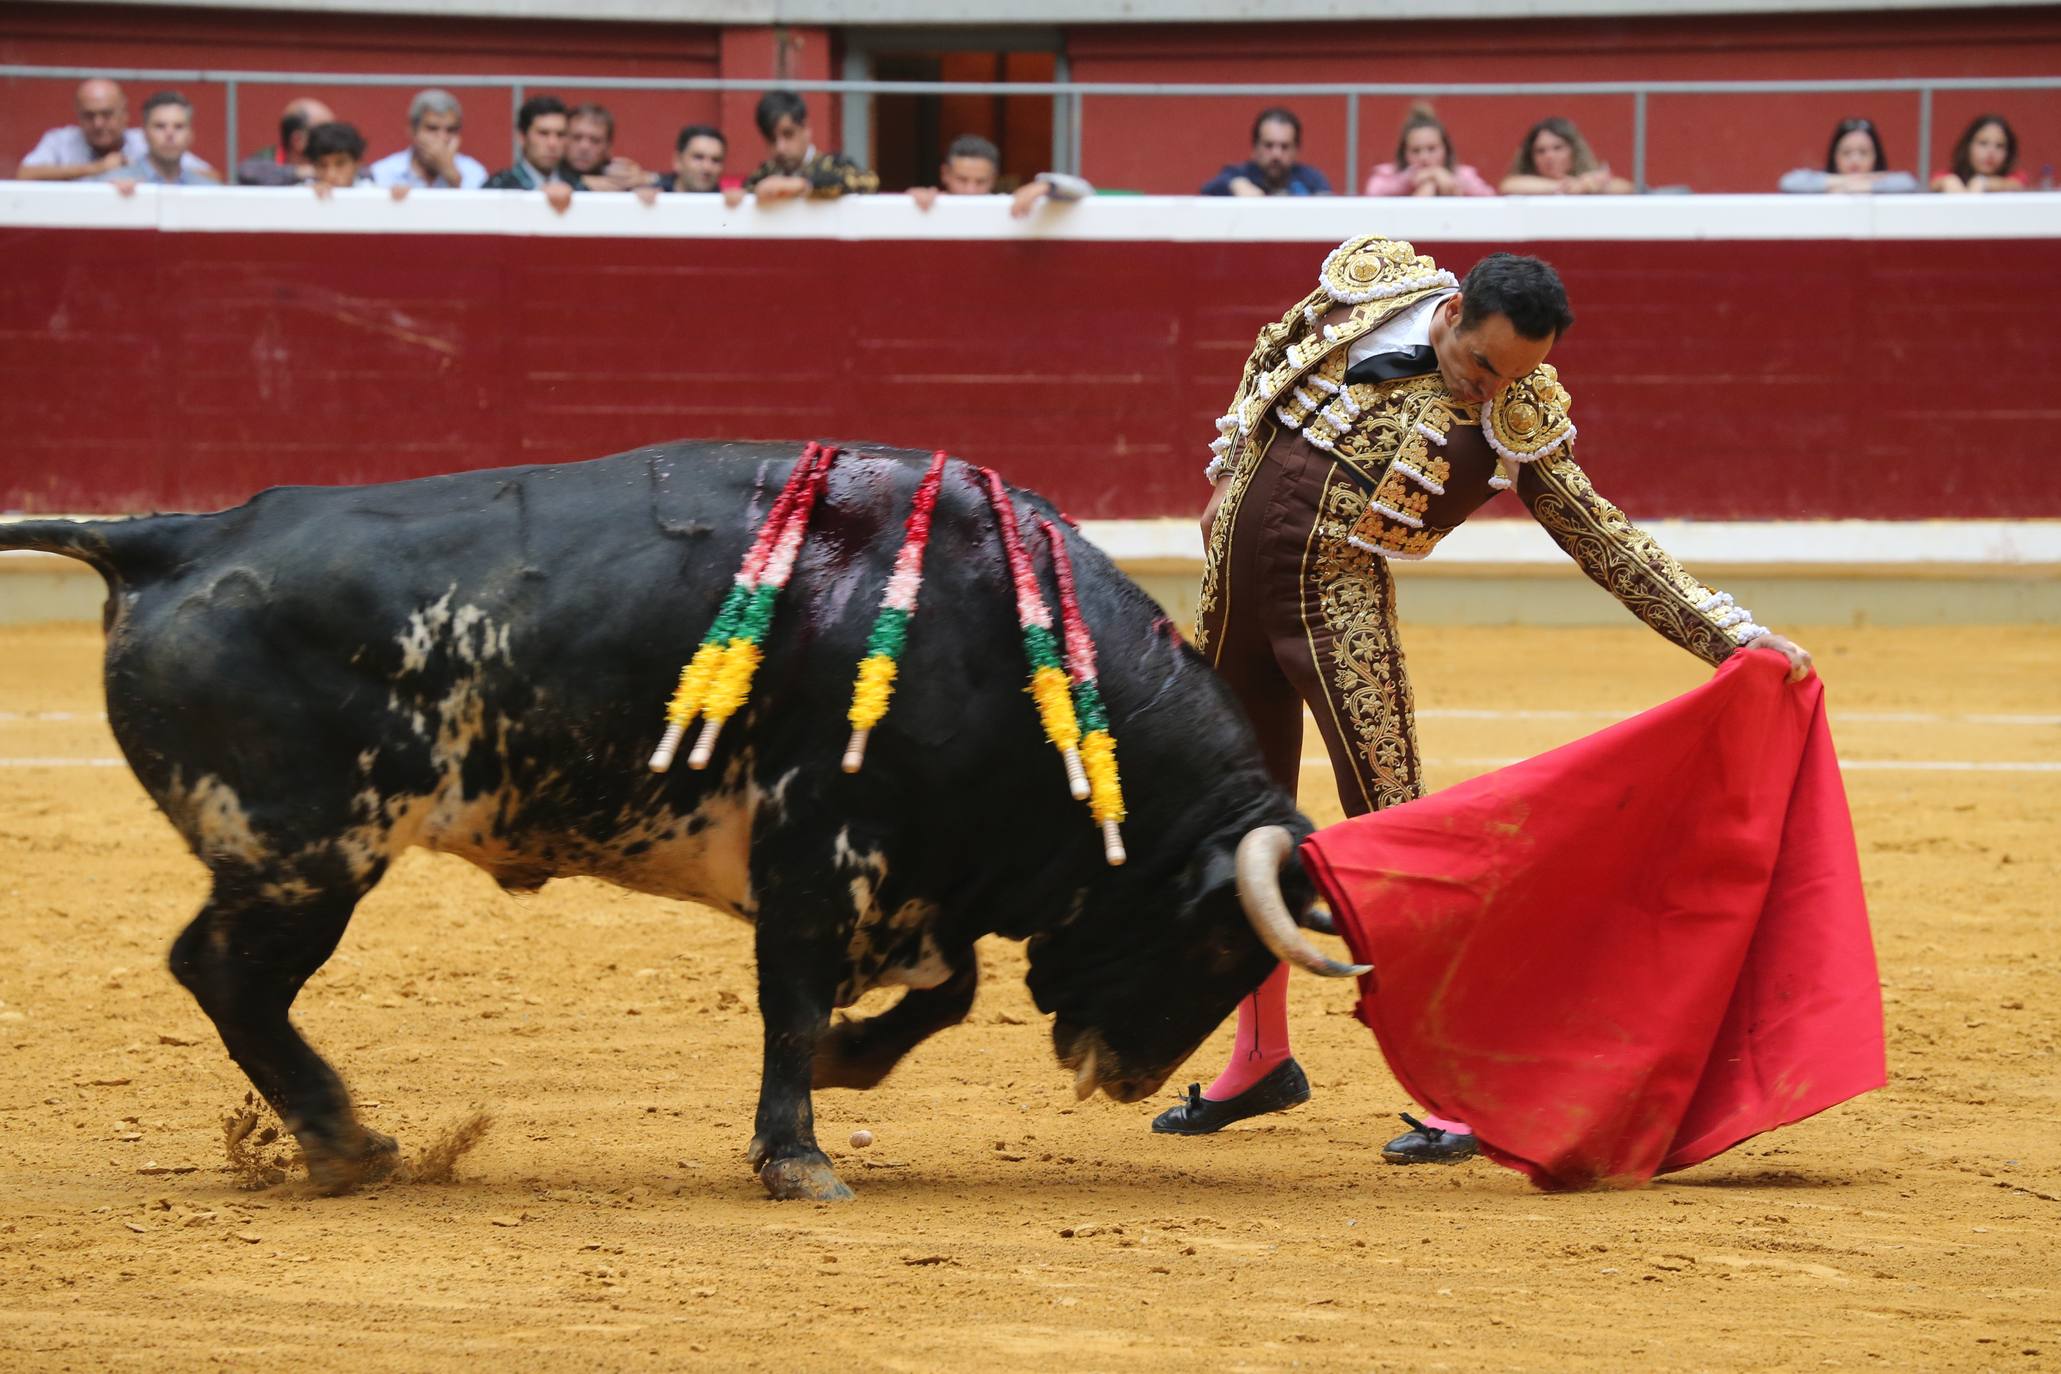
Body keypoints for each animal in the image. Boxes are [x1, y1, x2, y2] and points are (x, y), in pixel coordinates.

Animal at [4, 442, 1352, 1203]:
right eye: (1218, 942)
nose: (1128, 1080)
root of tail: (180, 535)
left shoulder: (908, 879)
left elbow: (941, 991)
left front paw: (845, 1065)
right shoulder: (817, 852)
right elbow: (799, 1002)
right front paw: (799, 1156)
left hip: (301, 861)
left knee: (230, 978)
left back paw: (345, 1144)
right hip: (308, 854)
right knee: (224, 972)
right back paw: (348, 1143)